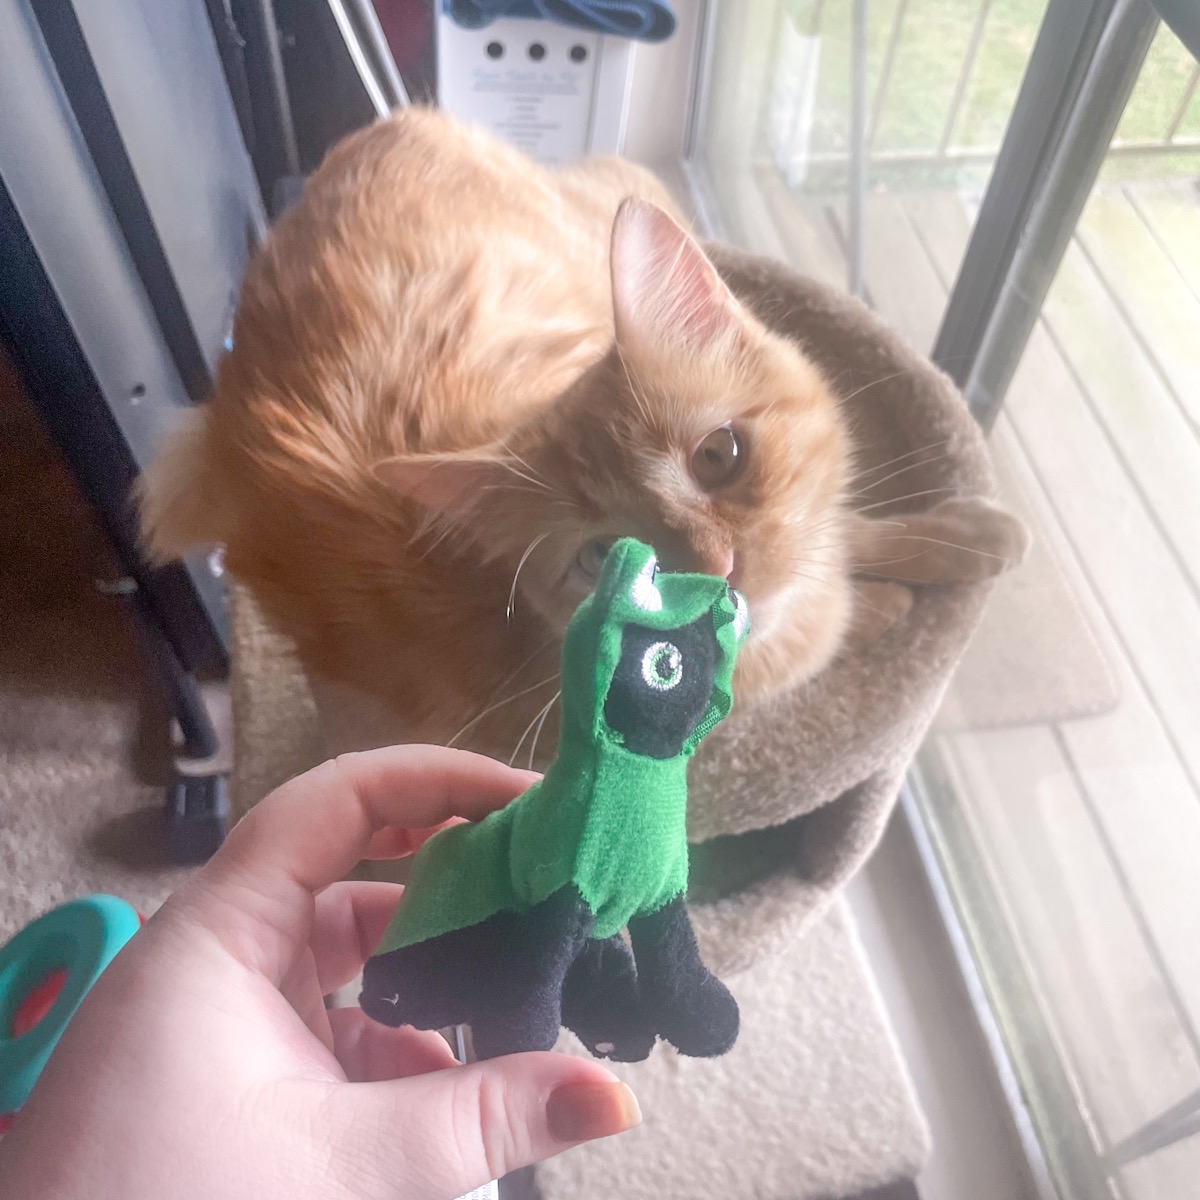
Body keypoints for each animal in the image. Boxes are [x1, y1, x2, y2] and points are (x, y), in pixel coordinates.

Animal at [138, 108, 1022, 763]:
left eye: (717, 456)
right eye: (604, 558)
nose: (721, 573)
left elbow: (847, 535)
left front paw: (959, 539)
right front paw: (884, 603)